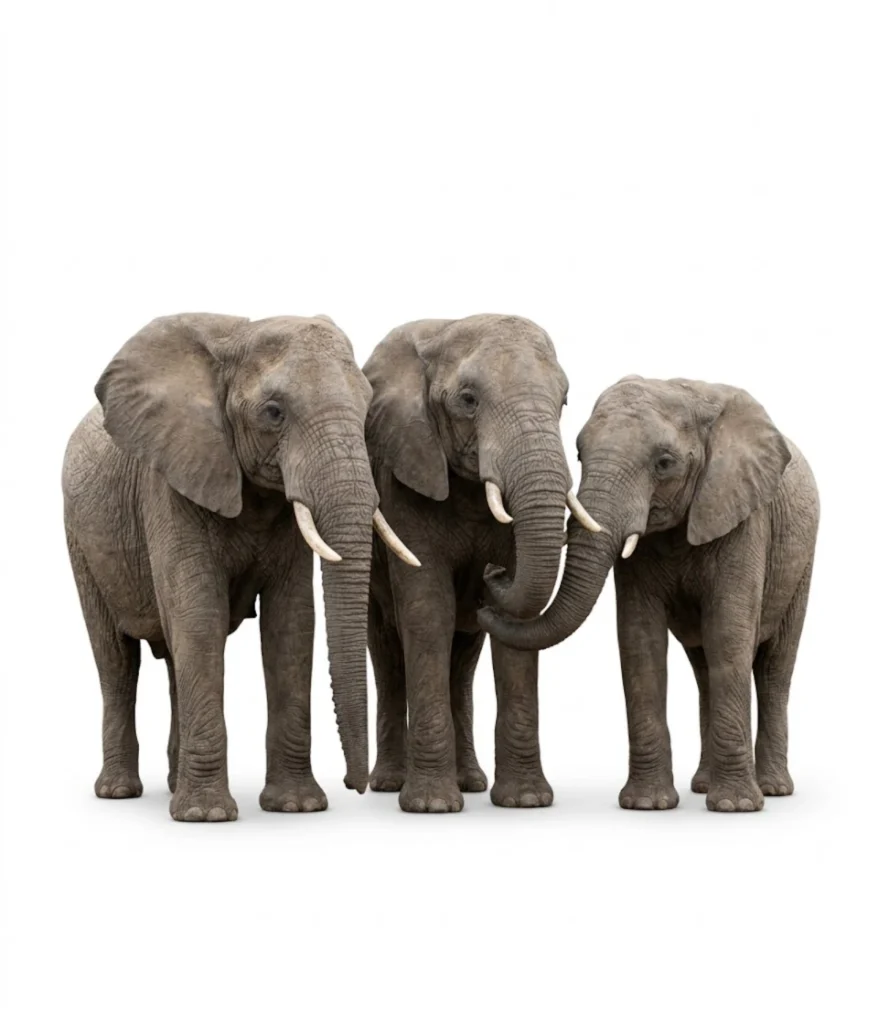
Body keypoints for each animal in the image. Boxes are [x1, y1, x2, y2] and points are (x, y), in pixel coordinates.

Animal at [63, 313, 418, 822]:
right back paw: (119, 792)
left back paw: (172, 786)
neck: (237, 335)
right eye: (273, 412)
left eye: (367, 406)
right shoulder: (170, 482)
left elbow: (290, 623)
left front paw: (297, 806)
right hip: (80, 537)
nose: (358, 786)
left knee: (174, 658)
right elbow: (199, 615)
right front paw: (206, 816)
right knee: (116, 659)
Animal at [363, 315, 600, 812]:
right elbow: (428, 610)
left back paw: (470, 781)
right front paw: (431, 807)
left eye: (564, 400)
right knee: (387, 649)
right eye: (468, 401)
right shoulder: (405, 473)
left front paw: (526, 801)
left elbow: (518, 623)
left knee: (463, 657)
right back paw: (391, 784)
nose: (492, 575)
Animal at [480, 376, 819, 813]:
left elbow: (728, 635)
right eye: (579, 453)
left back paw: (773, 790)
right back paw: (704, 786)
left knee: (775, 668)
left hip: (801, 562)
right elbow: (640, 639)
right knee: (705, 669)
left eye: (664, 463)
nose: (494, 571)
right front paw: (647, 805)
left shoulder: (743, 518)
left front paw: (735, 807)